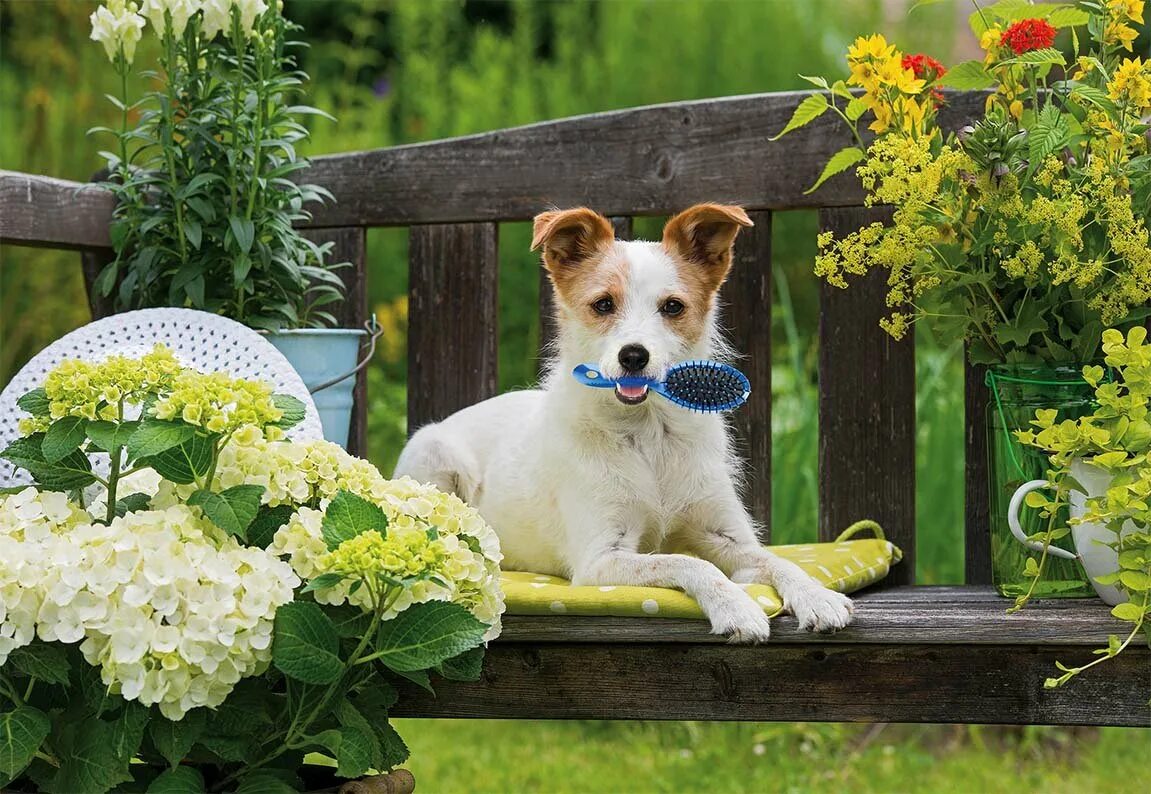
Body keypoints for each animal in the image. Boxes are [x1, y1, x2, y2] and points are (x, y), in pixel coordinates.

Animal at [395, 202, 856, 635]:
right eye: (603, 304)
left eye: (673, 306)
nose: (633, 355)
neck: (650, 436)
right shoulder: (602, 560)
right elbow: (688, 563)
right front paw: (736, 607)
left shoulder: (725, 536)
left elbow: (779, 561)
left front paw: (816, 596)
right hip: (434, 456)